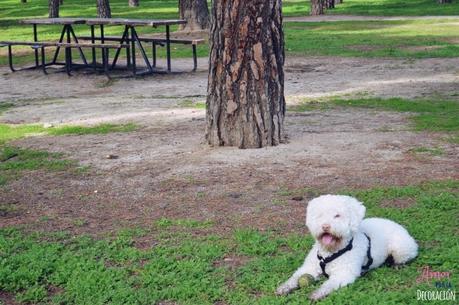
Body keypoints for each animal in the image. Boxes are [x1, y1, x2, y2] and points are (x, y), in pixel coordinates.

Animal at [276, 195, 420, 300]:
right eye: (320, 215)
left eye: (337, 215)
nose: (325, 226)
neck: (330, 251)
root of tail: (396, 224)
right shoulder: (309, 268)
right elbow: (294, 278)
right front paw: (284, 288)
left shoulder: (344, 274)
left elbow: (329, 284)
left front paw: (317, 293)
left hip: (401, 248)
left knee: (405, 257)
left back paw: (397, 264)